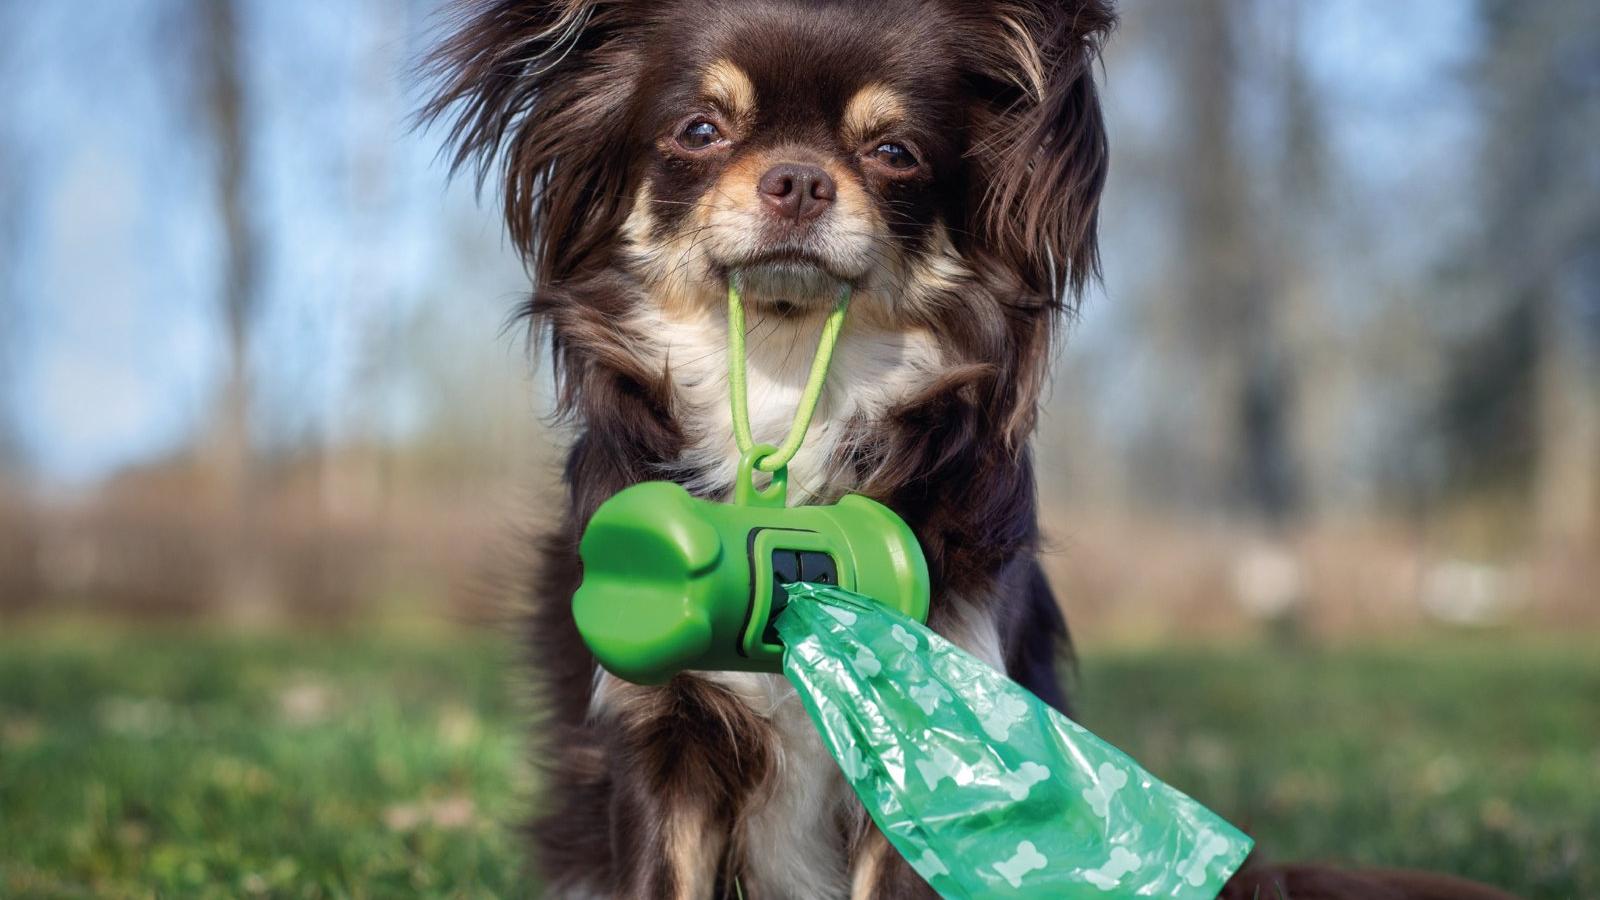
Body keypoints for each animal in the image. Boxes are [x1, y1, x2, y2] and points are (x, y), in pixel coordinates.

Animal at [425, 3, 1523, 890]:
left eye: (895, 153)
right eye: (700, 129)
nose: (796, 179)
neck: (788, 385)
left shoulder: (939, 736)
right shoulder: (664, 752)